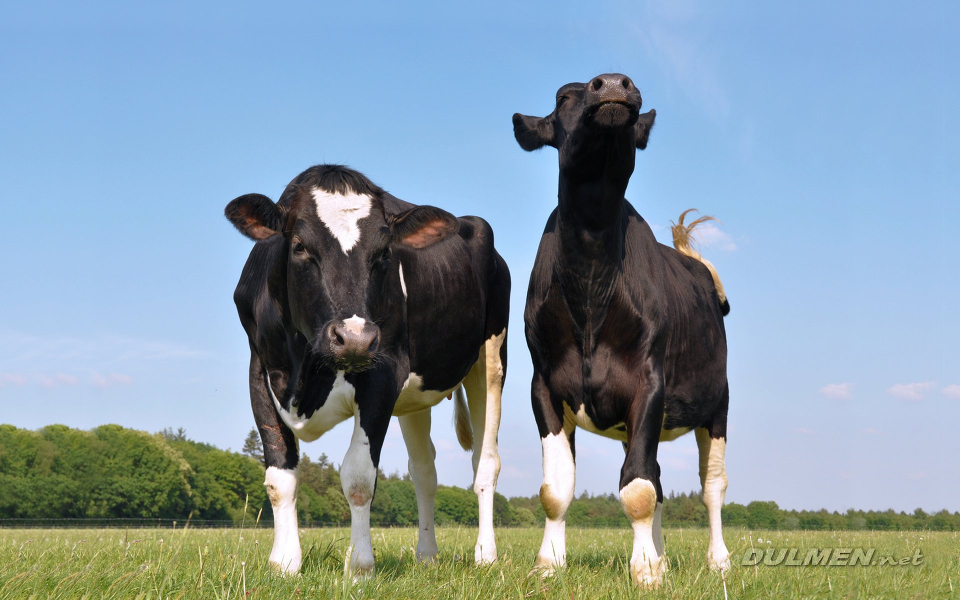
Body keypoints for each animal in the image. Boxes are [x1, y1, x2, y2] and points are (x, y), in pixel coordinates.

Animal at [225, 164, 510, 576]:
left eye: (384, 252)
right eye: (299, 246)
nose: (355, 338)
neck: (304, 370)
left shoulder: (383, 372)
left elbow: (359, 476)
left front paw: (360, 567)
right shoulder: (261, 372)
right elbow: (280, 477)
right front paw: (284, 563)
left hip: (491, 359)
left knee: (484, 464)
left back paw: (486, 555)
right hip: (415, 397)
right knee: (424, 472)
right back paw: (427, 556)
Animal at [512, 74, 732, 584]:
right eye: (563, 97)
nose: (613, 84)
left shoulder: (649, 382)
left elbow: (637, 489)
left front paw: (645, 571)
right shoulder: (543, 385)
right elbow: (557, 489)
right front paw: (548, 565)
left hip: (718, 405)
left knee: (712, 486)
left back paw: (719, 561)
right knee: (658, 477)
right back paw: (665, 556)